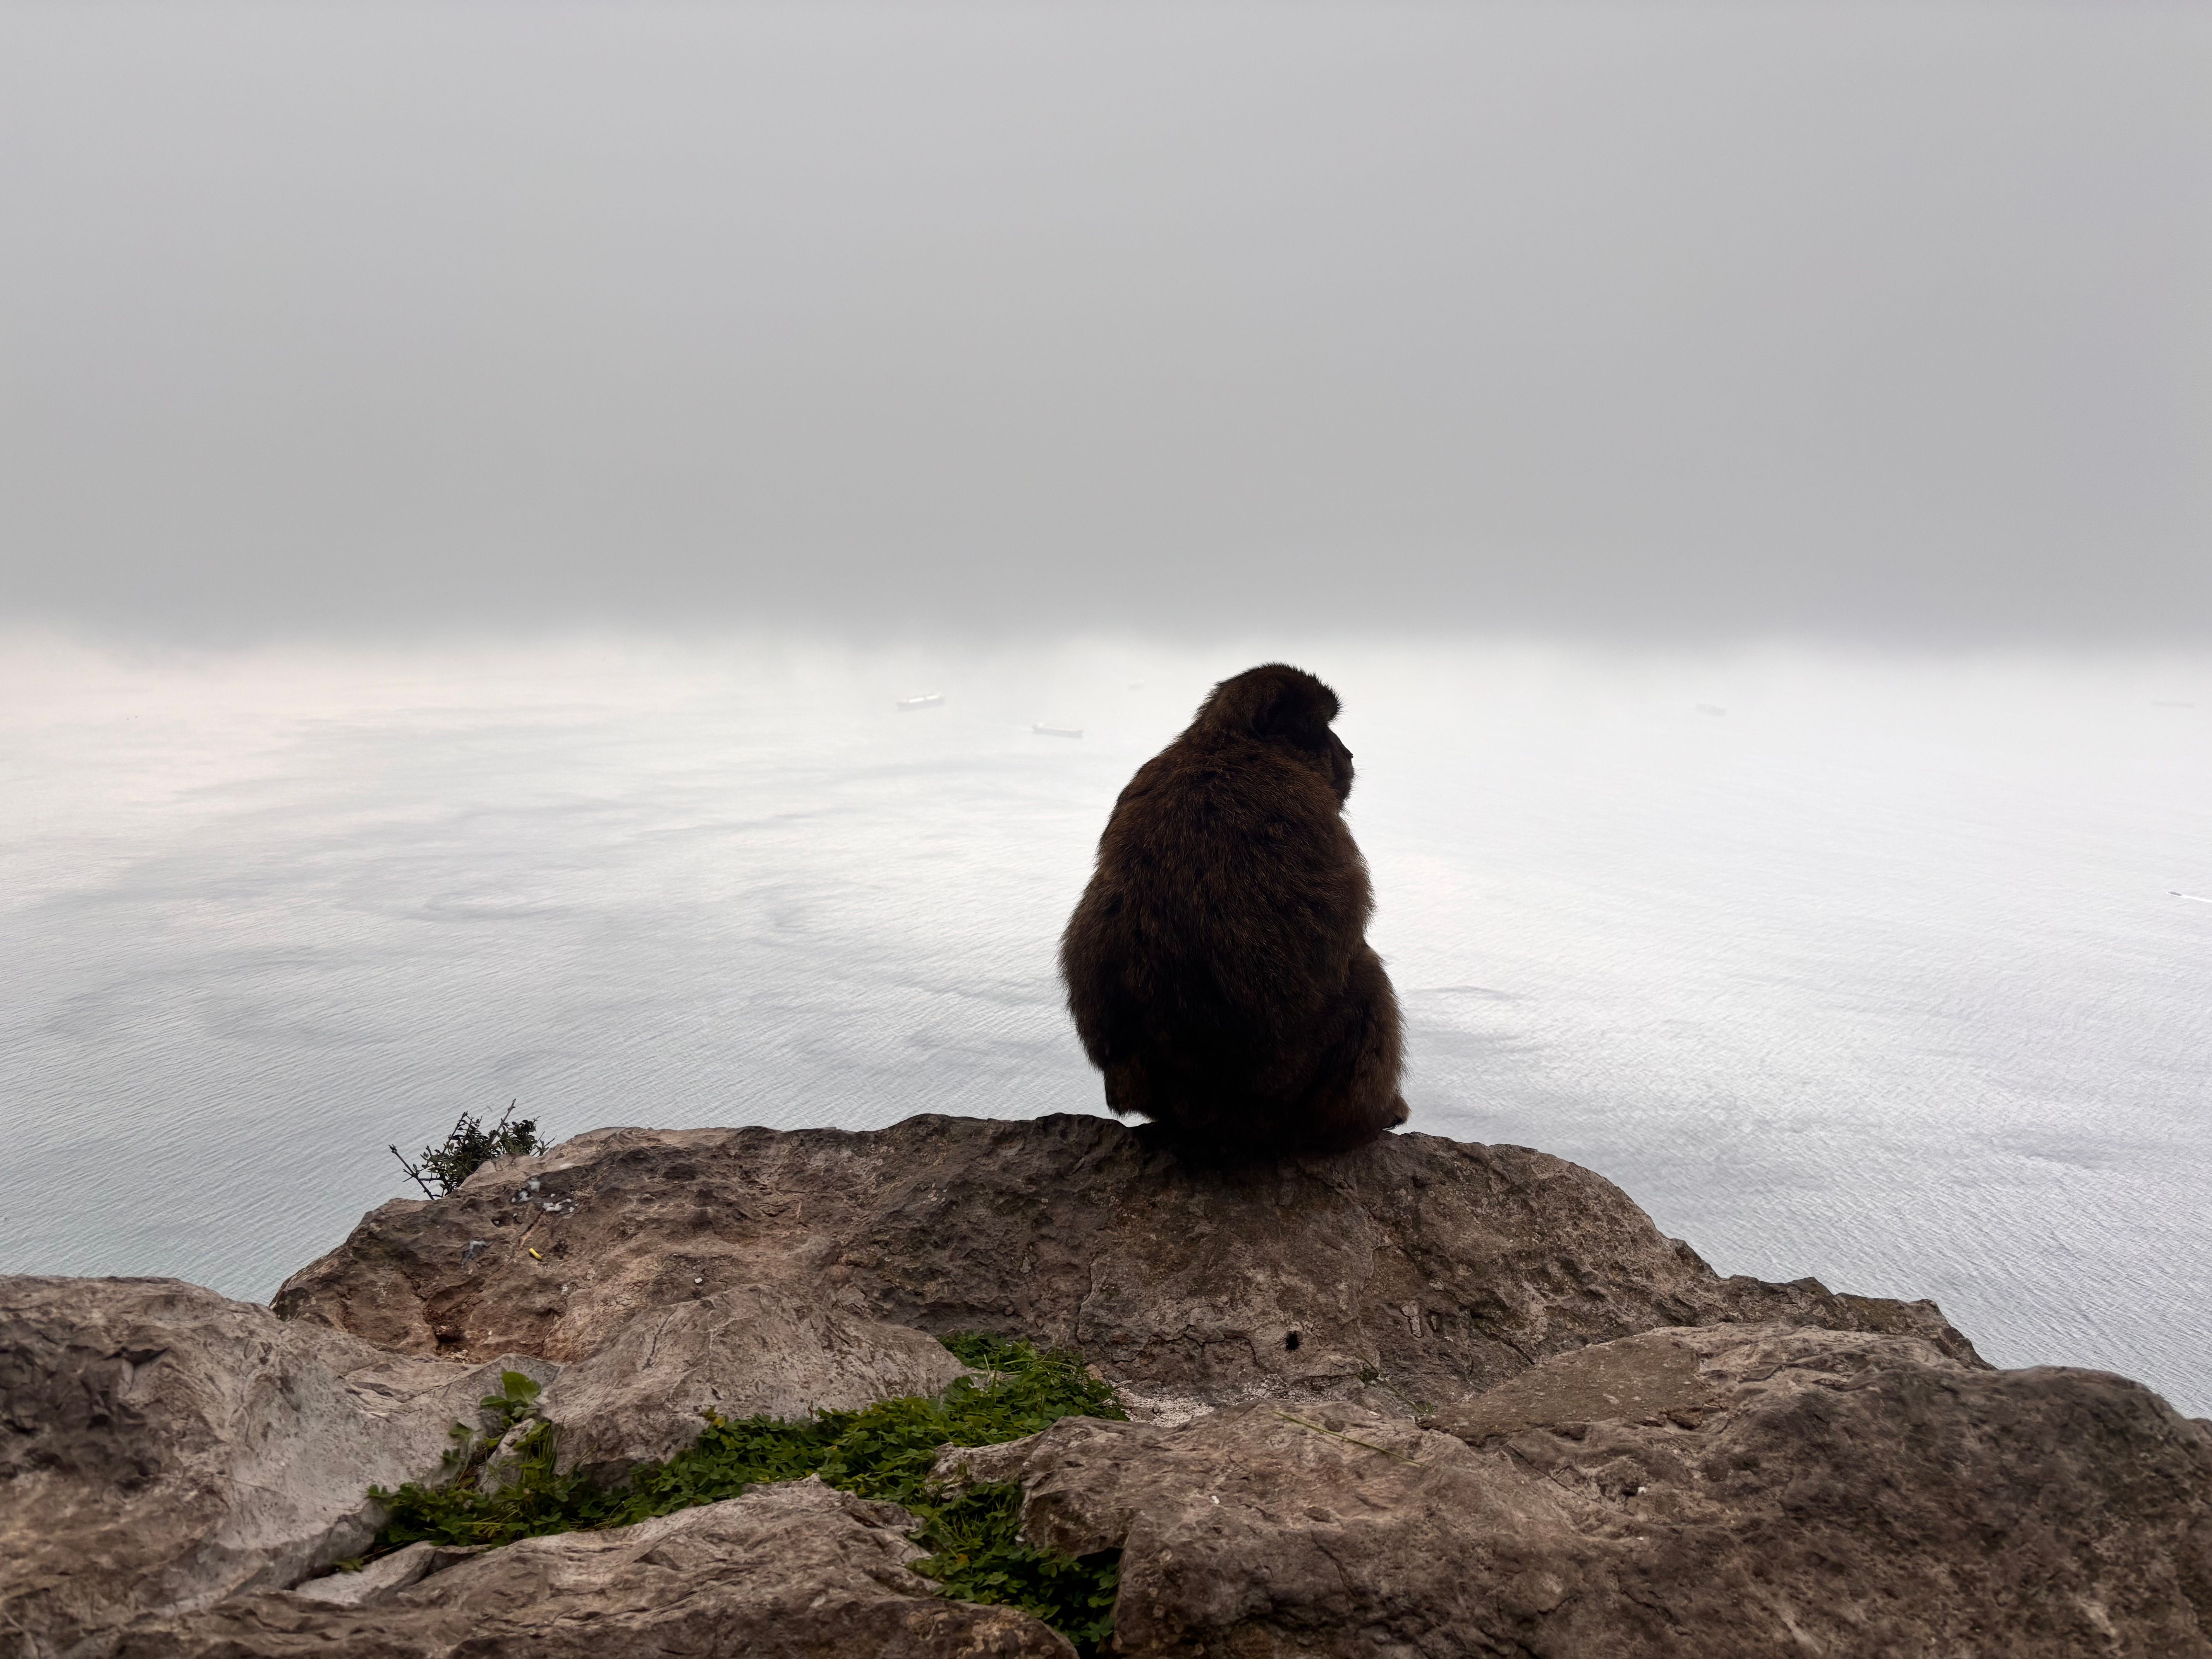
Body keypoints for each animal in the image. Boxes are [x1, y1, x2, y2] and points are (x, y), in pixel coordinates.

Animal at [1059, 663, 1408, 1157]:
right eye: (1322, 728)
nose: (1348, 753)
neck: (1228, 743)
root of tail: (1196, 1111)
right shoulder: (1311, 806)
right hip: (1288, 1092)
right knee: (1367, 977)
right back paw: (1371, 1119)